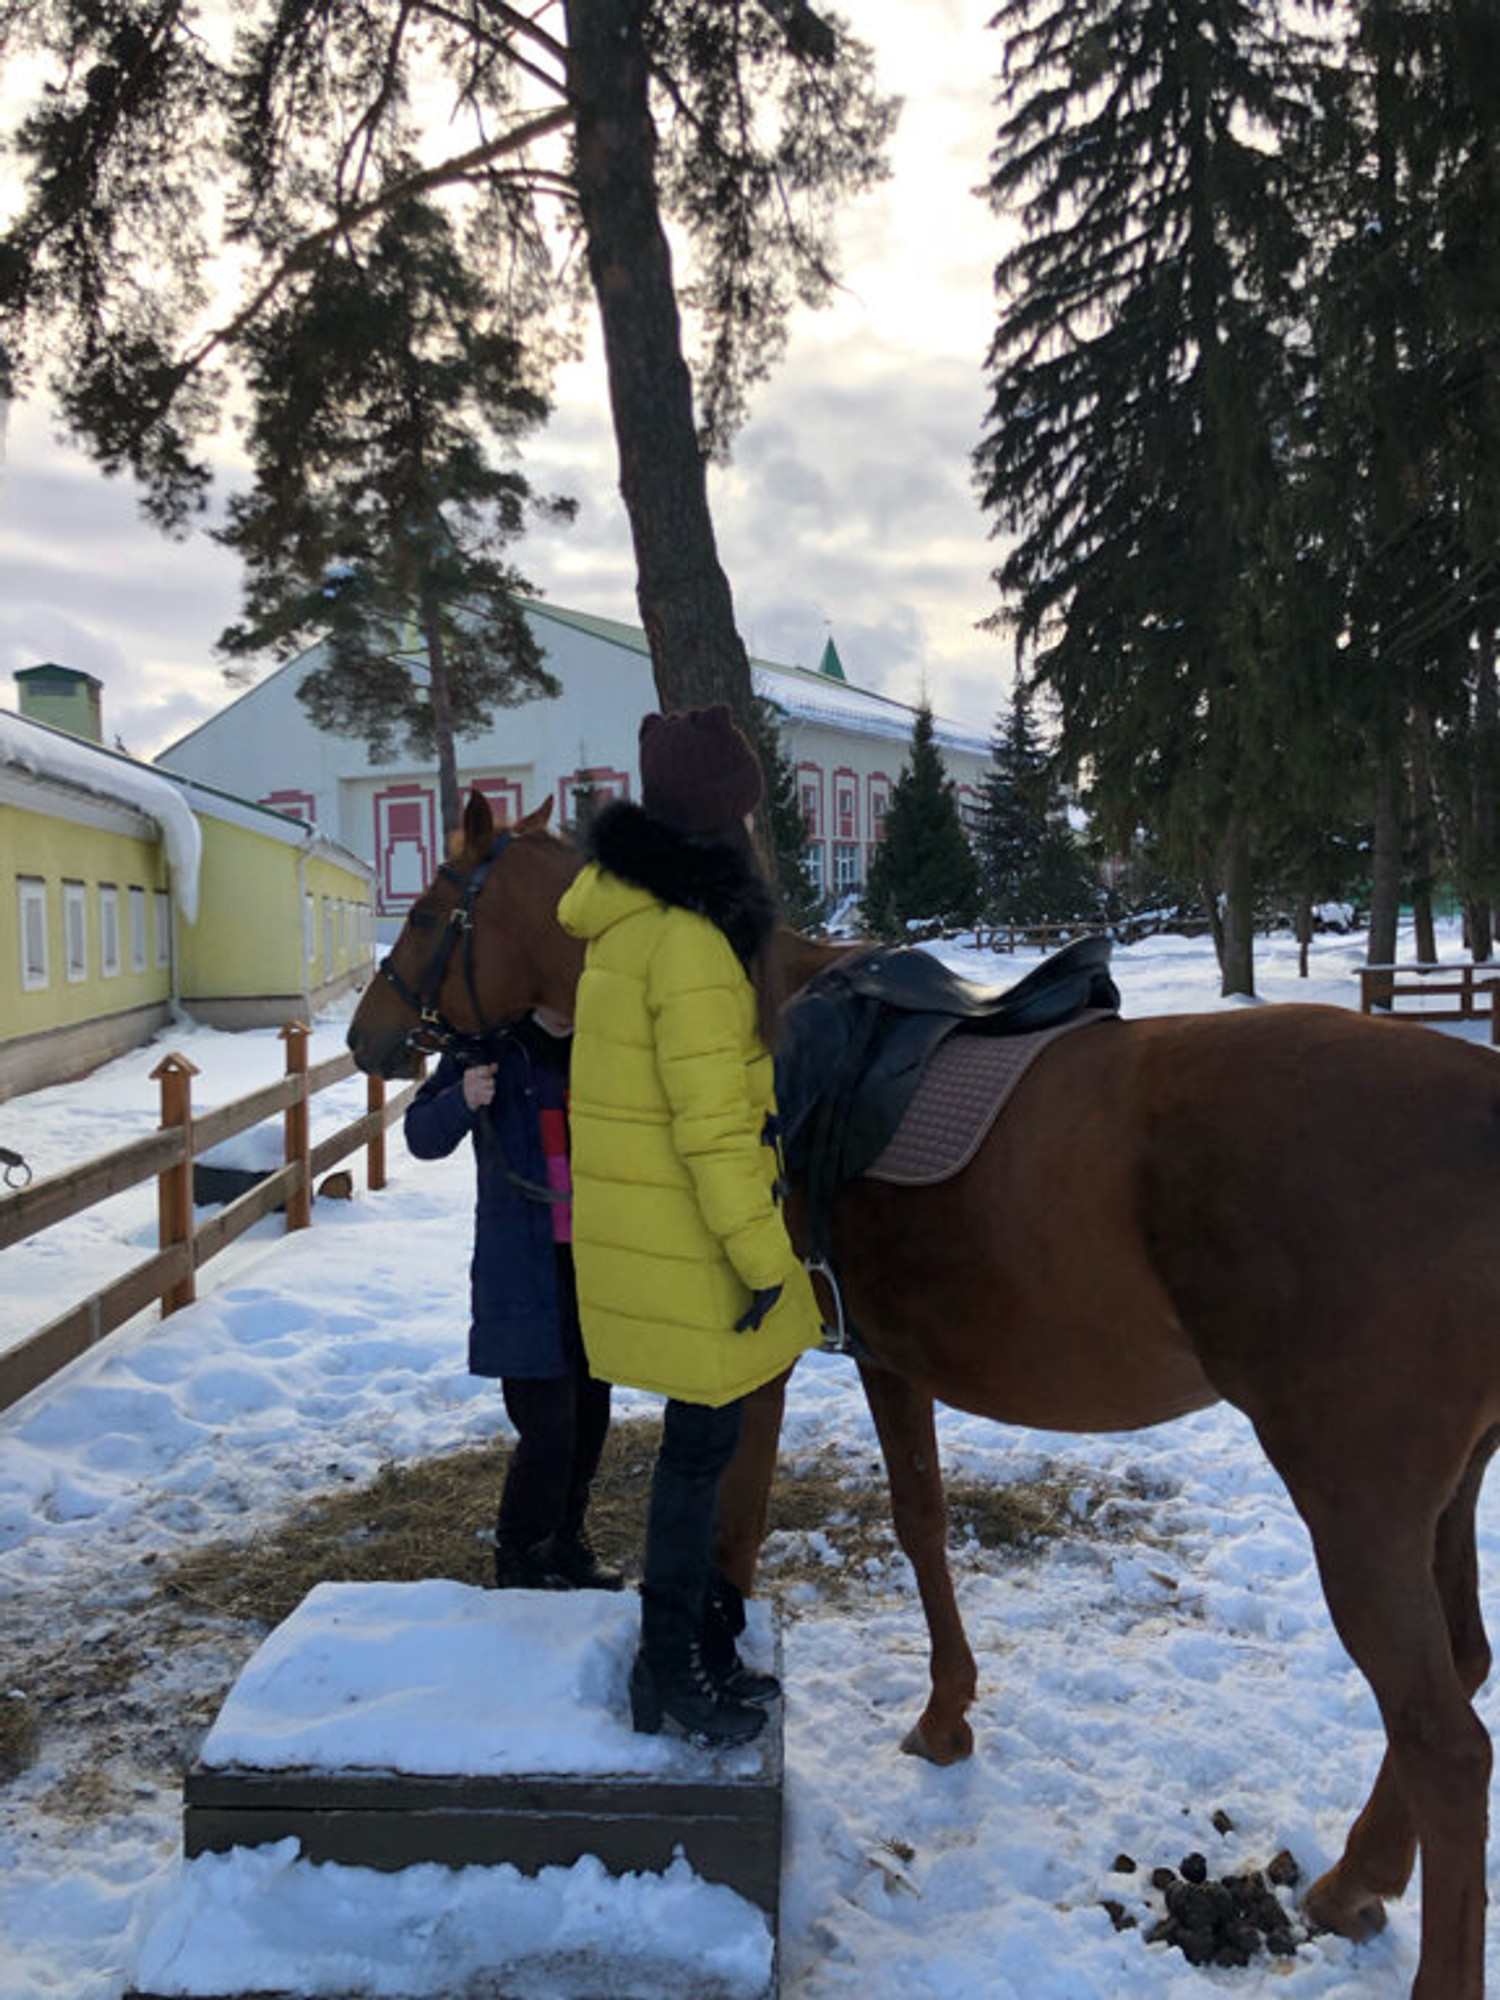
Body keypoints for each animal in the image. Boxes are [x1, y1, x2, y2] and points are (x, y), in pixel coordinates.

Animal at [346, 796, 1500, 2000]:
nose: (364, 1035)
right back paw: (1354, 1878)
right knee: (1464, 1671)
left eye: (423, 913)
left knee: (1446, 1739)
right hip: (1444, 1492)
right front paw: (940, 1711)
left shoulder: (772, 1361)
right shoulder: (888, 1360)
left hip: (1355, 1500)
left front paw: (733, 1659)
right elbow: (922, 1519)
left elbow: (743, 1514)